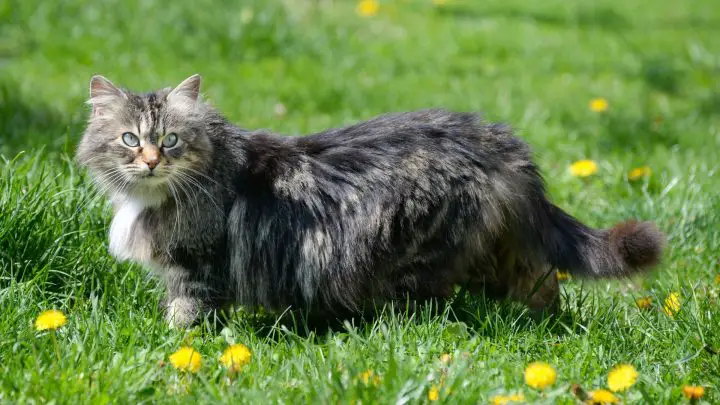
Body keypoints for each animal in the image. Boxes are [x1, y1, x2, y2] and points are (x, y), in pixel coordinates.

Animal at [76, 74, 668, 326]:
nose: (151, 161)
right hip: (493, 248)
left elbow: (185, 316)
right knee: (541, 280)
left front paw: (171, 348)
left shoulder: (199, 267)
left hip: (427, 256)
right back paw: (546, 326)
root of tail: (493, 139)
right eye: (129, 139)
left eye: (171, 139)